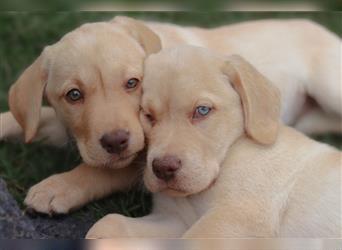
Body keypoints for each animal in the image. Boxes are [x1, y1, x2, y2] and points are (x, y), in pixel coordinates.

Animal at [1, 16, 340, 215]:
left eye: (132, 83)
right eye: (74, 95)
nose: (116, 142)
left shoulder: (141, 160)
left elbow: (101, 171)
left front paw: (56, 188)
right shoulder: (73, 131)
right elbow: (25, 120)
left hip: (329, 86)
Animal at [87, 46, 342, 239]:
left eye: (202, 110)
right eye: (148, 115)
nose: (163, 168)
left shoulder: (232, 216)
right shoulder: (176, 219)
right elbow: (109, 222)